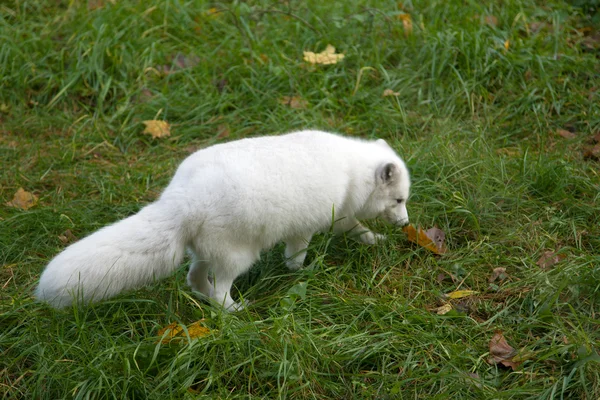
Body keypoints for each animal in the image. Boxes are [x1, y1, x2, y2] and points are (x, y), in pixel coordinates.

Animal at [35, 130, 410, 310]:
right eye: (400, 200)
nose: (406, 224)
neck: (351, 170)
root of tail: (185, 197)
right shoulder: (318, 224)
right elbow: (305, 252)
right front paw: (308, 270)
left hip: (206, 252)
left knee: (194, 278)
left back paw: (206, 299)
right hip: (238, 256)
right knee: (218, 290)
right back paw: (233, 311)